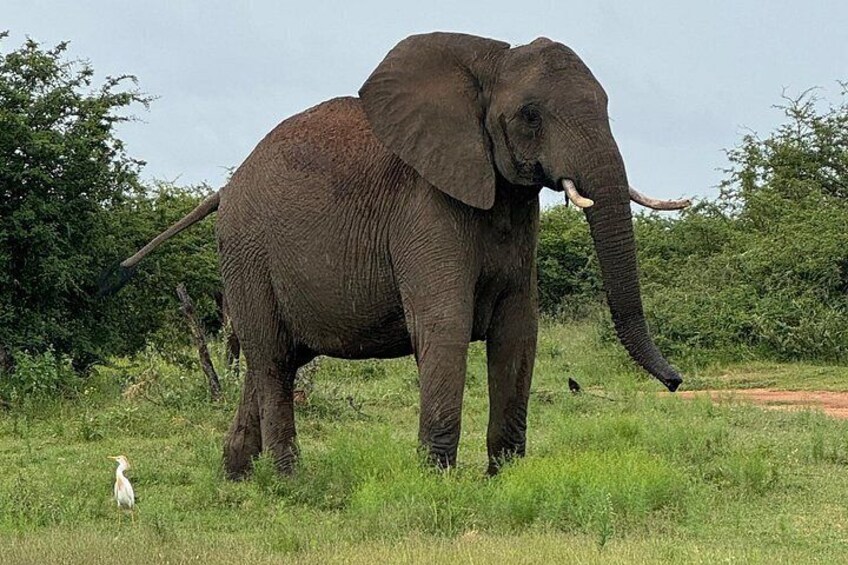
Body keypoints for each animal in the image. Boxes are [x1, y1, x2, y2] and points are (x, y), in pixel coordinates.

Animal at [120, 32, 689, 478]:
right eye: (531, 116)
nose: (677, 382)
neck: (489, 64)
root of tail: (225, 189)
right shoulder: (424, 207)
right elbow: (444, 325)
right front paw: (437, 481)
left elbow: (519, 329)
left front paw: (503, 478)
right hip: (247, 252)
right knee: (275, 364)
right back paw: (288, 482)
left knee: (268, 362)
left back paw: (236, 479)